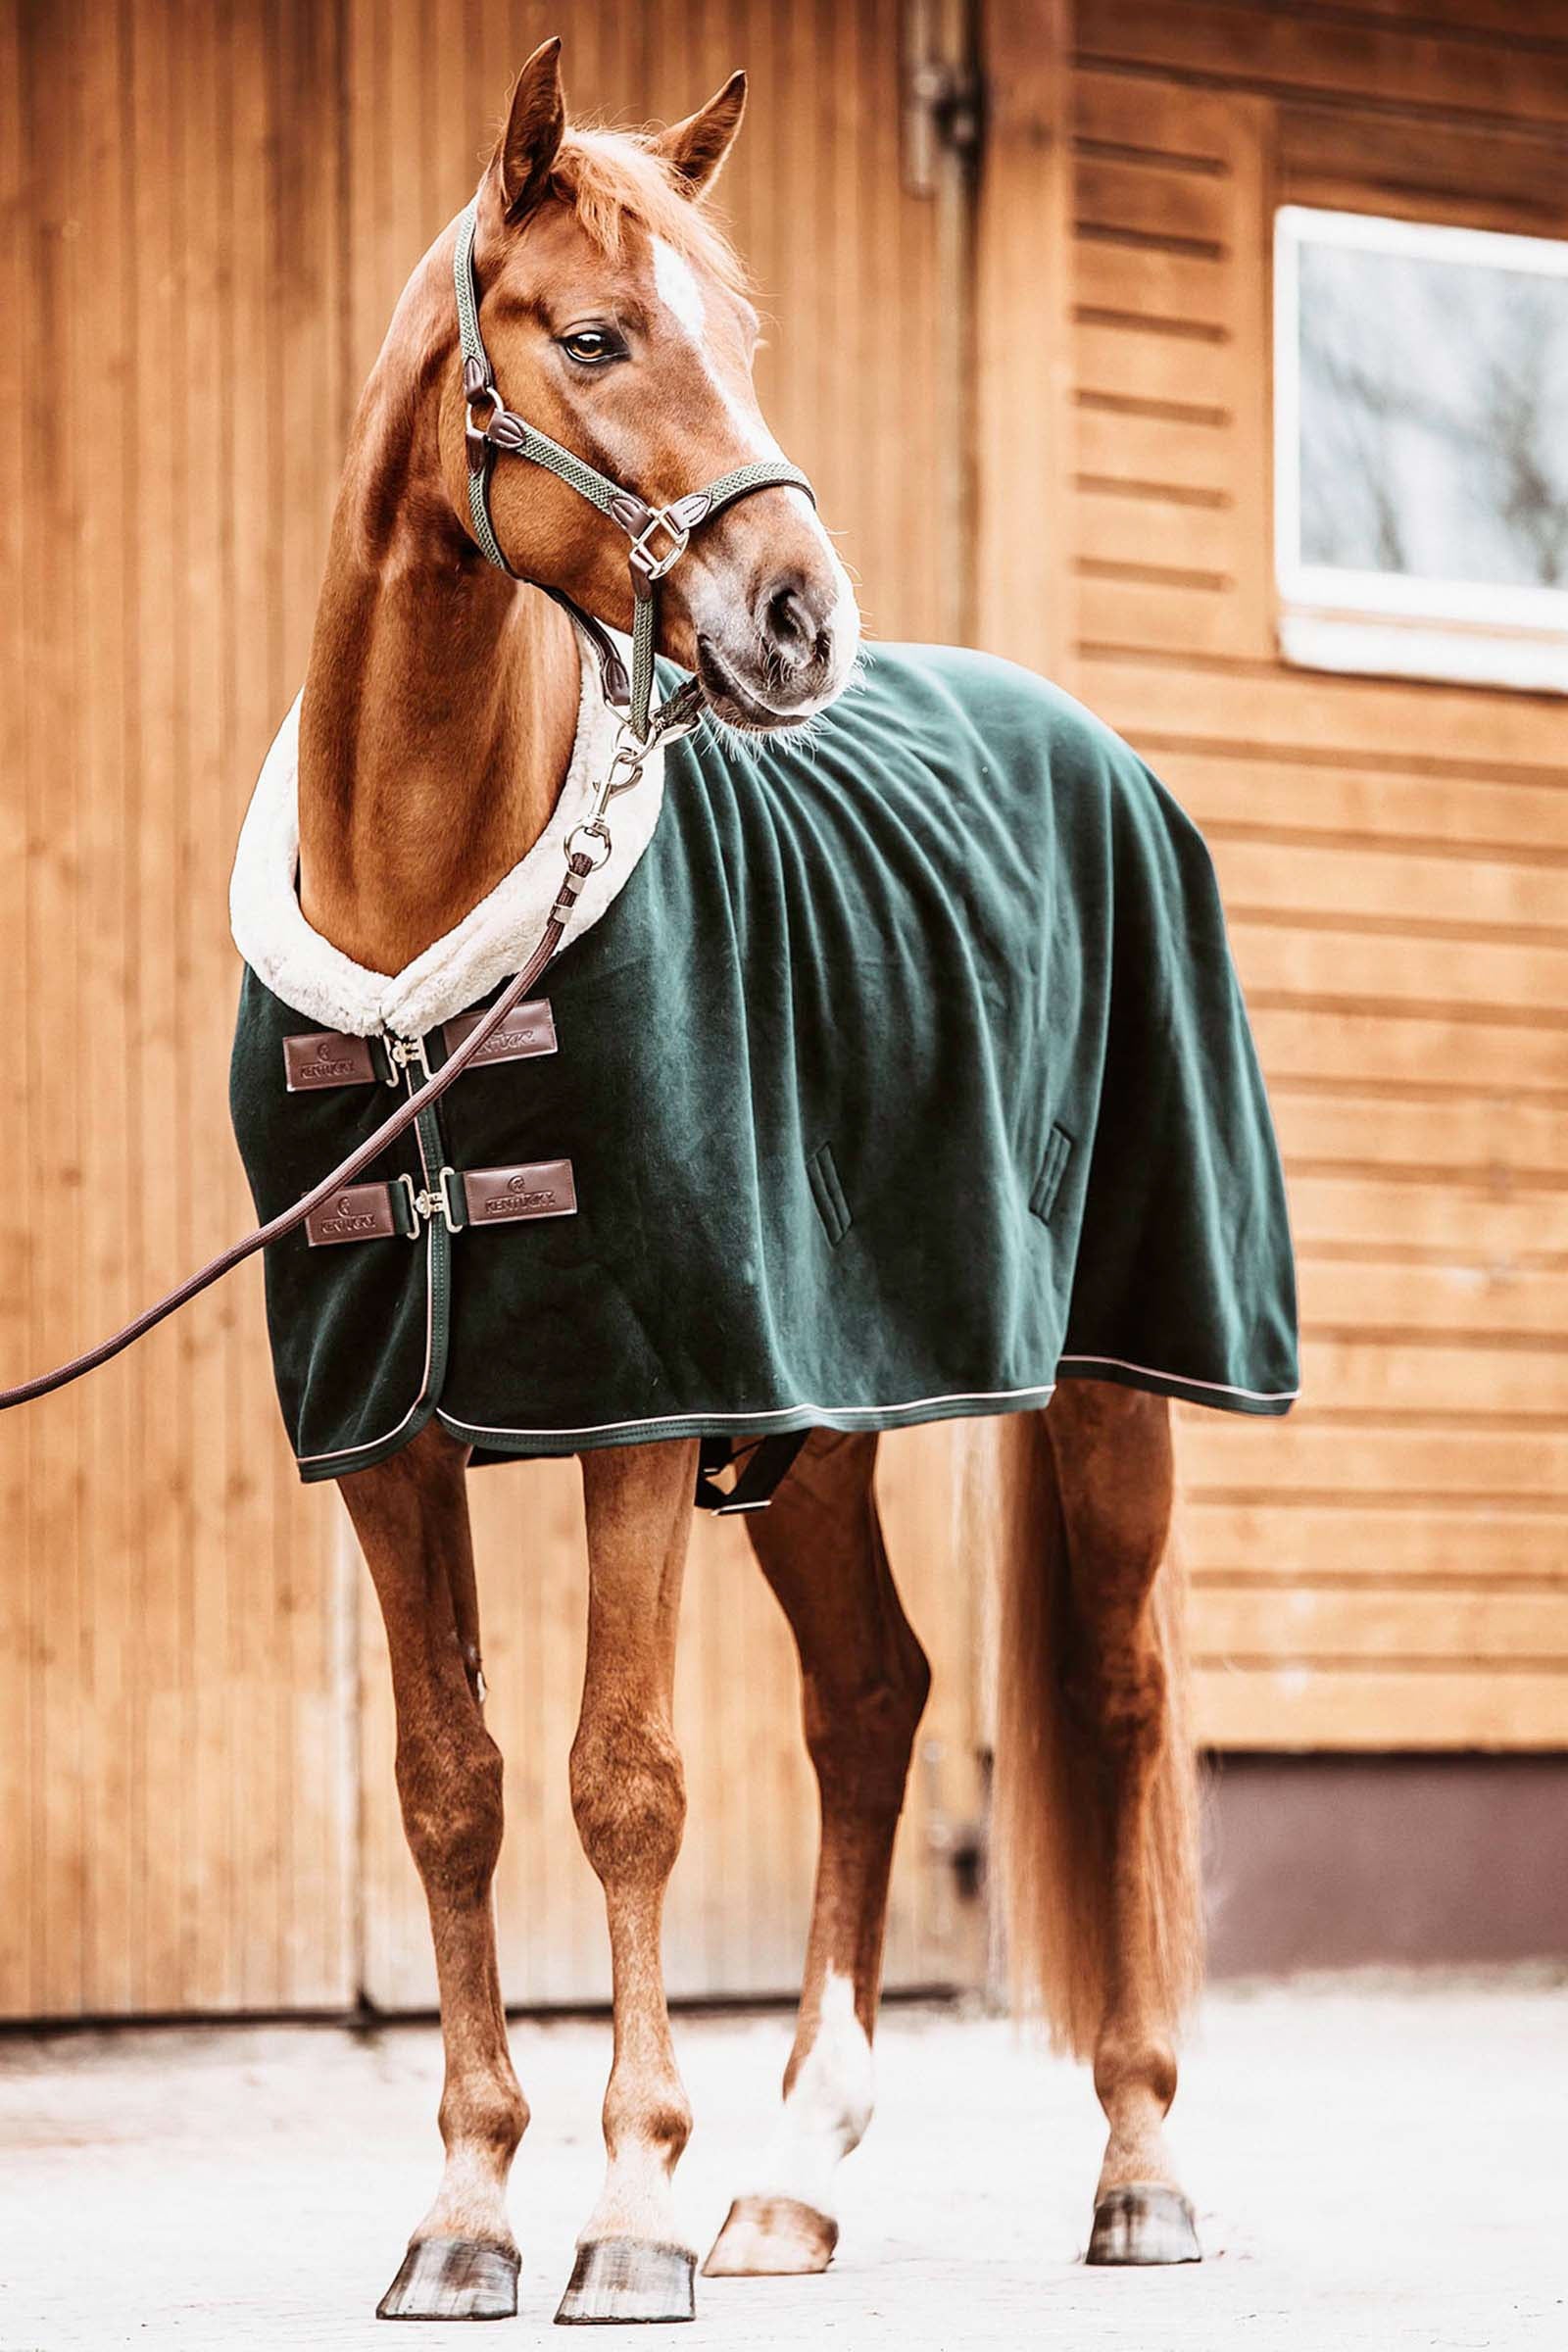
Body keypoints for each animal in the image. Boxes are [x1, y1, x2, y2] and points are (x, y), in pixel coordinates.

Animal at [237, 38, 1295, 2324]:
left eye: (742, 333)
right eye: (591, 335)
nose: (799, 619)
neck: (433, 949)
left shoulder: (637, 1407)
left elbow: (621, 1783)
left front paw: (629, 2207)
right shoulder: (390, 1436)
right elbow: (450, 1790)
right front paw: (467, 2207)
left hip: (1114, 1387)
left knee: (1119, 1703)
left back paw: (1139, 2167)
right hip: (815, 1429)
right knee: (874, 1698)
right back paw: (797, 2178)